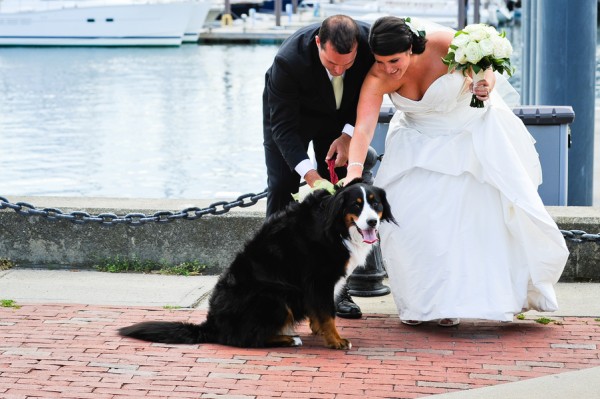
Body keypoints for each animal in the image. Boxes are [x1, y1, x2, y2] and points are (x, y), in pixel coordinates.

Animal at [119, 180, 396, 352]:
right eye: (356, 205)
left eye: (375, 204)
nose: (372, 222)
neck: (335, 225)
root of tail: (213, 324)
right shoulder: (319, 278)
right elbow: (328, 313)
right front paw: (336, 341)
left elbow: (320, 312)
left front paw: (319, 332)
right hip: (274, 296)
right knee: (247, 339)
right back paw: (289, 339)